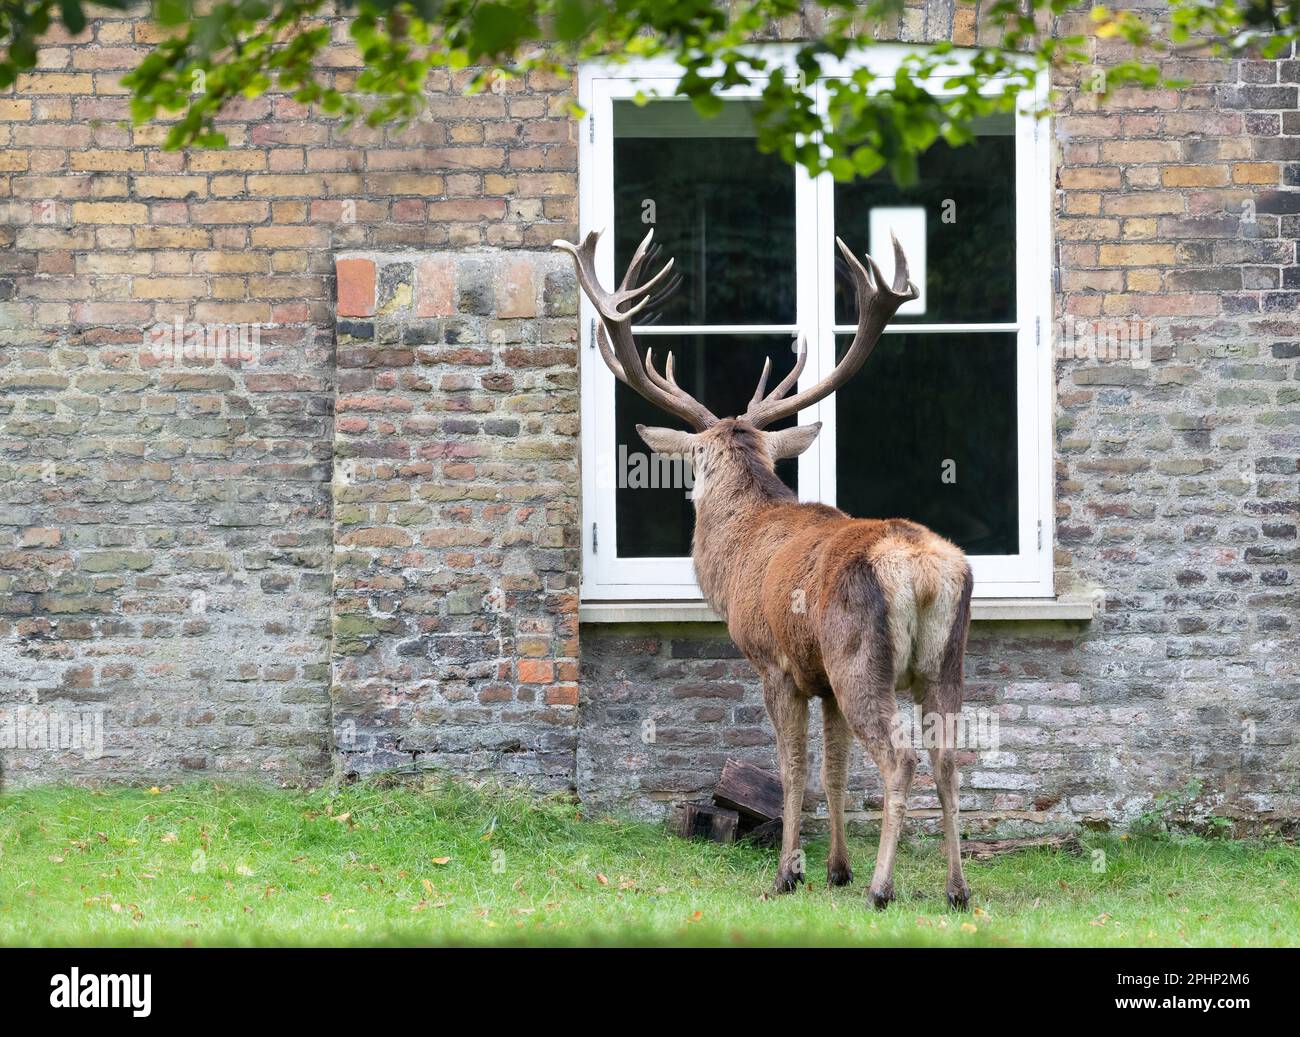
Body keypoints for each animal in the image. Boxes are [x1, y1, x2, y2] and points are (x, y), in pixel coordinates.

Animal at [555, 227, 974, 910]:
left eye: (695, 462)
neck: (737, 553)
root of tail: (922, 574)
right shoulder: (819, 677)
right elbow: (833, 770)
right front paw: (835, 869)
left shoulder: (774, 660)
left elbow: (792, 768)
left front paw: (790, 873)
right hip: (948, 660)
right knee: (947, 759)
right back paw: (957, 889)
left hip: (860, 656)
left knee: (901, 757)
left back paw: (882, 888)